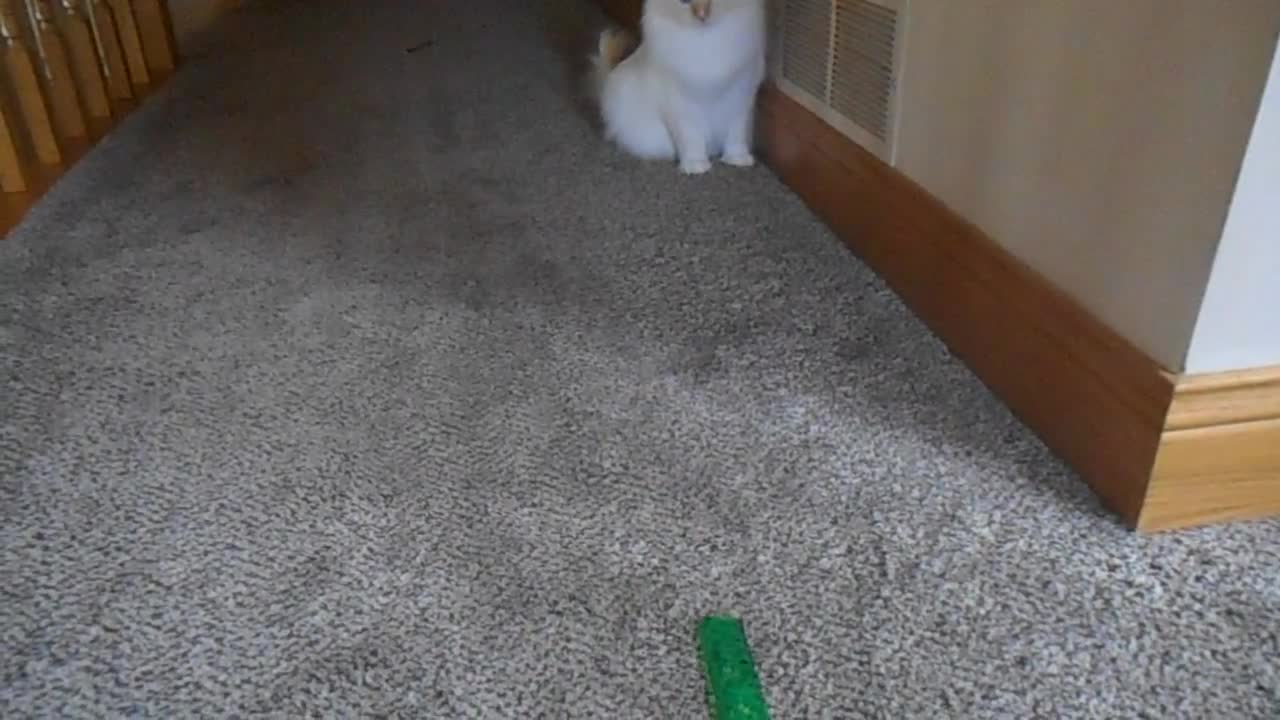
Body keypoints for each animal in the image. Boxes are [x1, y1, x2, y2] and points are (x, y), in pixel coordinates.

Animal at [593, 0, 762, 174]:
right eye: (684, 2)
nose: (702, 15)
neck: (706, 42)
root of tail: (609, 75)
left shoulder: (741, 96)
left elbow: (736, 136)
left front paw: (738, 159)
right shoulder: (681, 106)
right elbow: (692, 139)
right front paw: (696, 166)